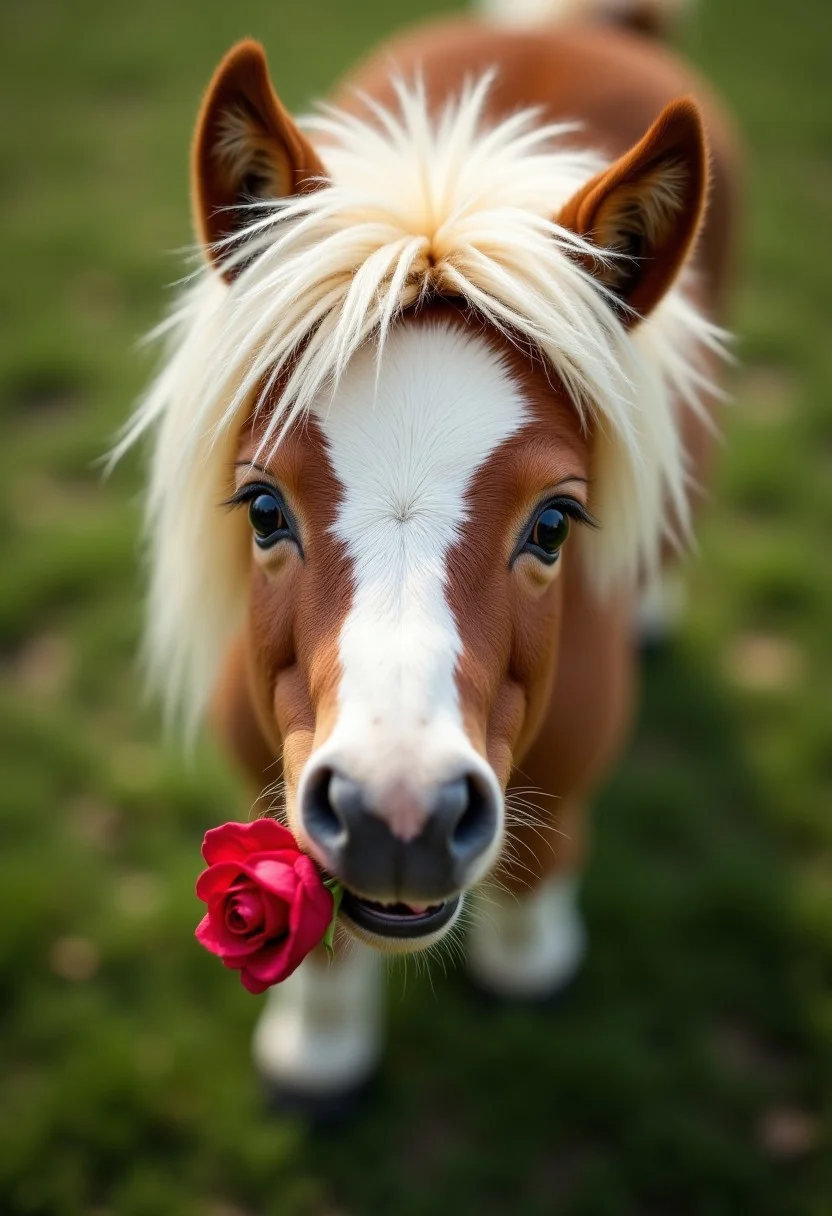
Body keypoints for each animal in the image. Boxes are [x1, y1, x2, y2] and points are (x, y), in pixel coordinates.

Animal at [117, 0, 741, 1106]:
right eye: (262, 508)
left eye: (553, 524)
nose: (396, 814)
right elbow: (312, 934)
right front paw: (319, 1057)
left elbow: (541, 863)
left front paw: (528, 970)